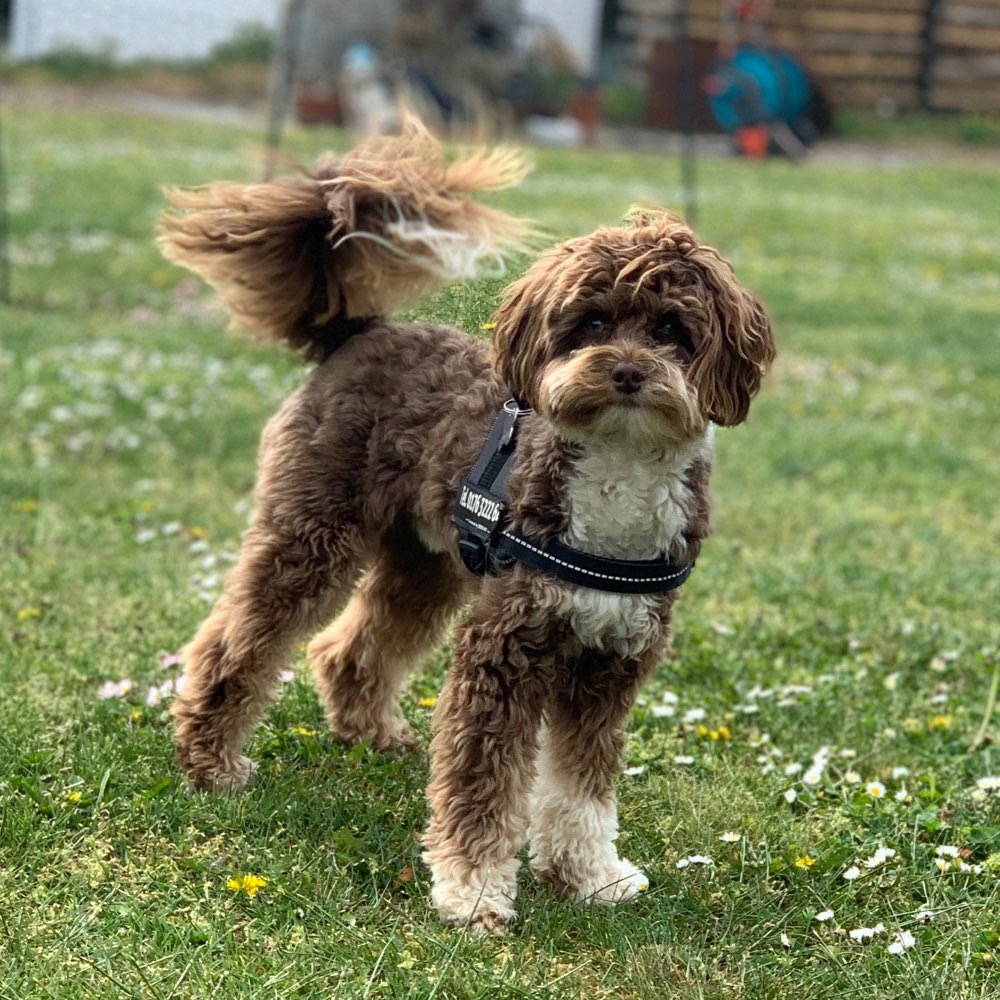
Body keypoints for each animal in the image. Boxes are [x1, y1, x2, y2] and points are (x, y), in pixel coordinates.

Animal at [162, 121, 772, 932]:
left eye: (673, 329)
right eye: (593, 322)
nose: (625, 371)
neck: (617, 472)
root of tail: (356, 334)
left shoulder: (612, 659)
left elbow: (580, 787)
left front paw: (588, 876)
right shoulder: (502, 650)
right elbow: (483, 784)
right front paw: (475, 891)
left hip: (425, 563)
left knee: (351, 646)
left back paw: (372, 733)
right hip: (312, 532)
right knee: (238, 640)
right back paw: (210, 761)